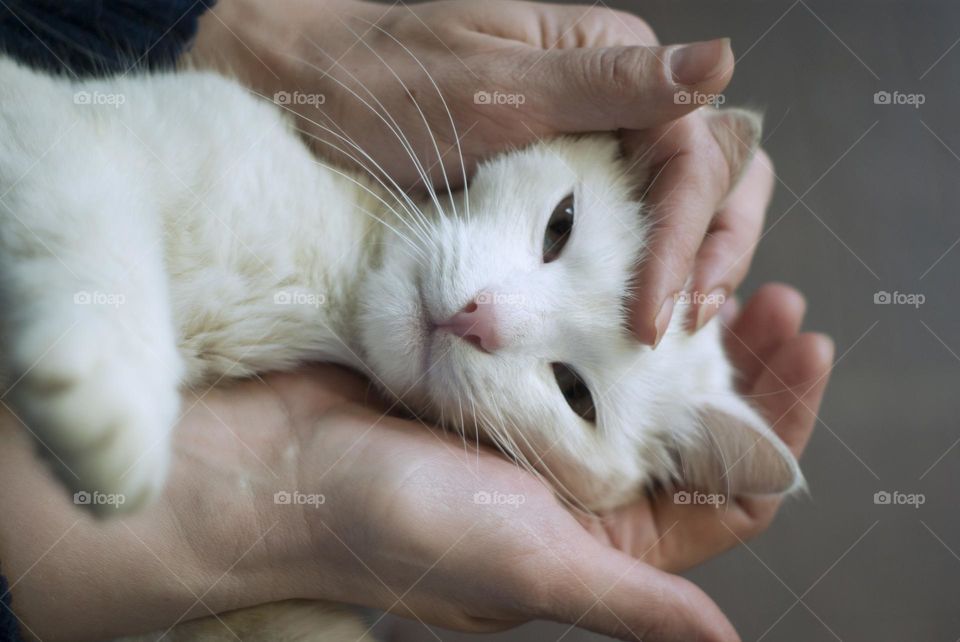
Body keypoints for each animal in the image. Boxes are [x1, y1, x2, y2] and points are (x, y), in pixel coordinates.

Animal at [0, 57, 796, 636]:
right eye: (560, 225)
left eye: (575, 394)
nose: (478, 320)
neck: (328, 279)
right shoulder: (58, 126)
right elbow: (92, 227)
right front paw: (110, 405)